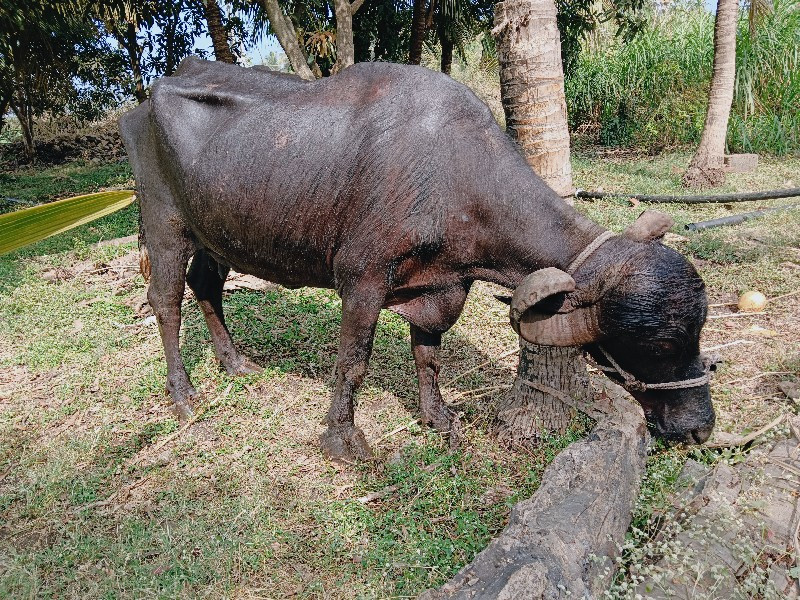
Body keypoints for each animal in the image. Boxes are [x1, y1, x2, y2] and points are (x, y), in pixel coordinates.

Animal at [119, 57, 712, 460]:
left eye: (698, 331)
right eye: (659, 345)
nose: (699, 427)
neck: (454, 175)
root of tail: (146, 101)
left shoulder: (439, 287)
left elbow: (428, 356)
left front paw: (436, 416)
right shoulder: (361, 281)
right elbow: (353, 362)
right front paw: (344, 438)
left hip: (215, 234)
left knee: (207, 287)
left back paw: (235, 361)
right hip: (165, 224)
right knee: (165, 300)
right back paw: (184, 395)